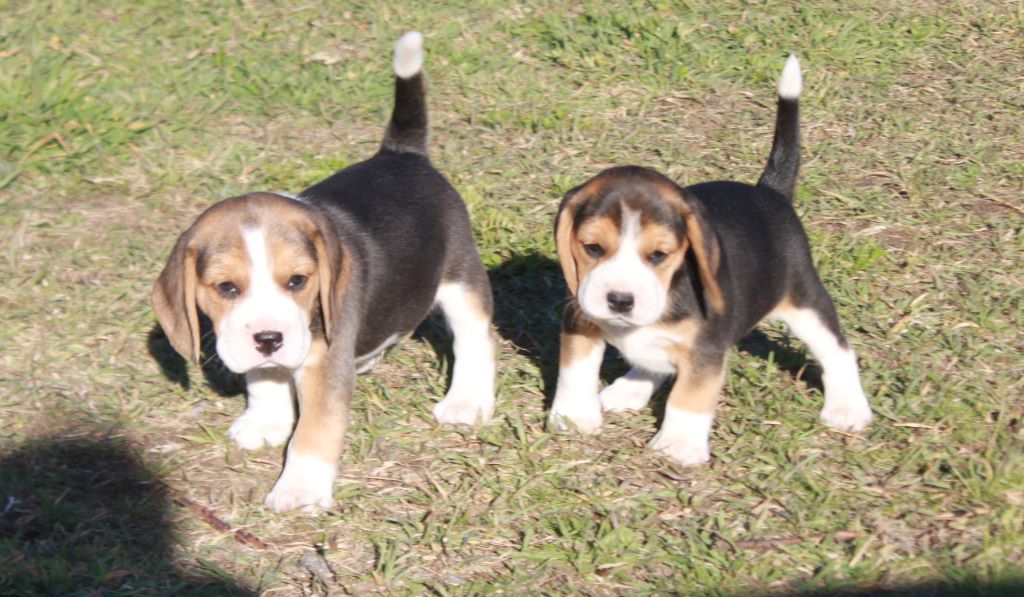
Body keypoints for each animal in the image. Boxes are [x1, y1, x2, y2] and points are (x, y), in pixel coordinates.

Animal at [152, 30, 499, 512]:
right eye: (226, 287)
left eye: (297, 281)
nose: (269, 339)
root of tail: (402, 154)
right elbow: (264, 380)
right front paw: (264, 422)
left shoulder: (324, 367)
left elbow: (313, 433)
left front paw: (299, 490)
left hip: (461, 277)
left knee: (475, 339)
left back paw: (466, 401)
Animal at [552, 56, 872, 466]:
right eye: (592, 248)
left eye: (659, 255)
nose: (620, 300)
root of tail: (769, 192)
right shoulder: (580, 317)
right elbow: (575, 372)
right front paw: (574, 417)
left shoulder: (706, 349)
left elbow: (689, 396)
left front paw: (678, 445)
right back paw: (630, 388)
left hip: (805, 301)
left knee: (838, 352)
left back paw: (848, 408)